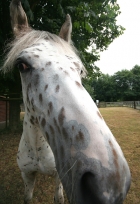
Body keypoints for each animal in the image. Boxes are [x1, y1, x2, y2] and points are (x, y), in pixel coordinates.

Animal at [2, 0, 131, 203]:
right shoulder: (27, 176)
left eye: (80, 70)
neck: (37, 148)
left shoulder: (58, 179)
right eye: (21, 65)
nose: (108, 183)